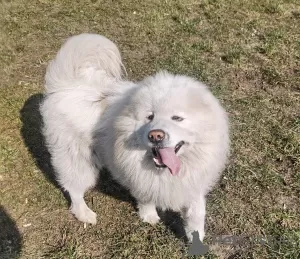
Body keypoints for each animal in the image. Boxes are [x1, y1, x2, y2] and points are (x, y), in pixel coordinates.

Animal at [40, 33, 230, 243]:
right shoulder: (139, 176)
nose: (156, 135)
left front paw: (195, 238)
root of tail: (66, 84)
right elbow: (146, 198)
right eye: (150, 116)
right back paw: (85, 214)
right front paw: (149, 217)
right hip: (77, 160)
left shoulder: (194, 183)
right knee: (73, 189)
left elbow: (196, 213)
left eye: (177, 118)